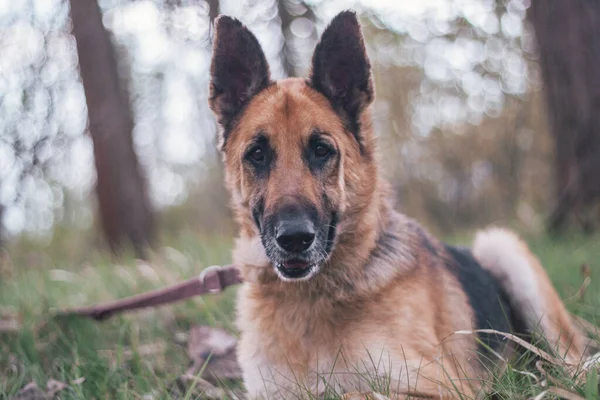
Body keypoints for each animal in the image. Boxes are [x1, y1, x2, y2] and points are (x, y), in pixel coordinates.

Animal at [207, 10, 584, 398]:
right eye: (257, 154)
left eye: (321, 150)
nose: (294, 238)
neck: (310, 296)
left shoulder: (439, 386)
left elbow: (348, 391)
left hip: (502, 247)